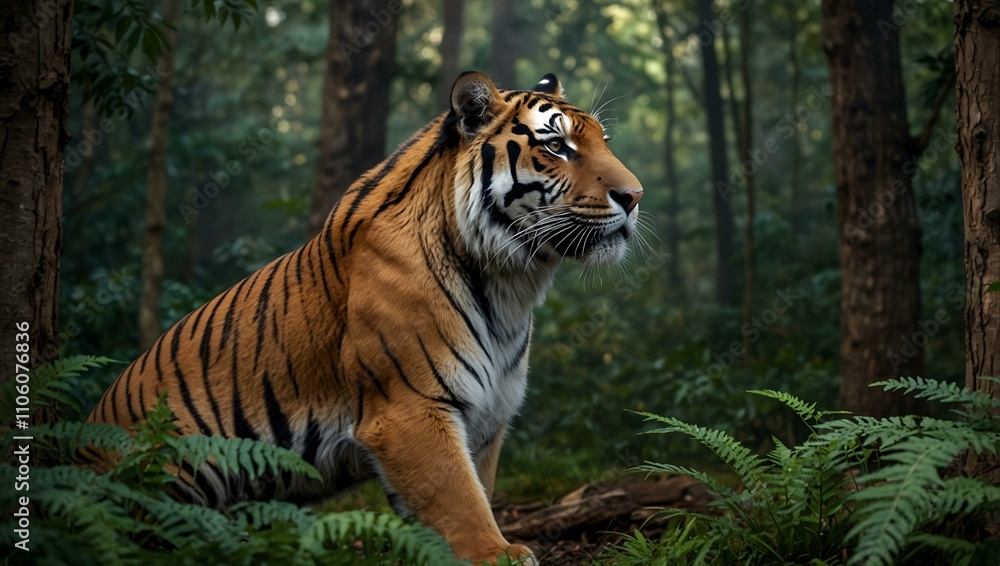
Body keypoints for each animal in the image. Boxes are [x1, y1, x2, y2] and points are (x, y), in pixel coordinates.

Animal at [86, 71, 644, 564]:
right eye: (557, 146)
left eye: (603, 140)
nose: (636, 196)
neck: (510, 282)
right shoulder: (409, 407)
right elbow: (459, 497)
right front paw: (496, 554)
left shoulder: (489, 415)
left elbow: (473, 490)